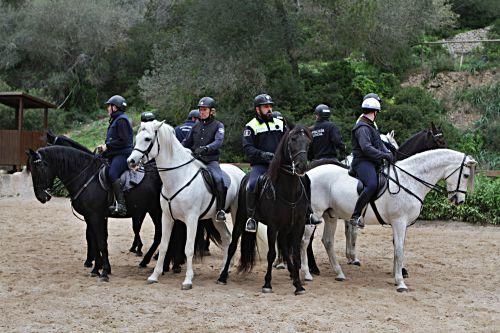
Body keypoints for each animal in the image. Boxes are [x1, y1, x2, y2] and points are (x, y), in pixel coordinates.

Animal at [127, 119, 246, 288]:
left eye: (147, 139)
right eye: (136, 138)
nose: (131, 161)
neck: (178, 177)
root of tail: (240, 171)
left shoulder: (191, 219)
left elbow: (188, 248)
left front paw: (188, 280)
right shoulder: (167, 217)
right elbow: (164, 245)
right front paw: (154, 275)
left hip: (237, 214)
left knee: (234, 239)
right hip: (216, 218)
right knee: (227, 238)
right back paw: (225, 269)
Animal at [219, 124, 312, 294]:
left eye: (308, 143)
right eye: (293, 139)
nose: (301, 167)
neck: (288, 191)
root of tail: (244, 177)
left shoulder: (298, 225)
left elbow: (294, 254)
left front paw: (298, 285)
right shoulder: (273, 226)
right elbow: (271, 253)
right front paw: (267, 284)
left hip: (284, 227)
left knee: (284, 247)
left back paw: (292, 273)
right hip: (241, 218)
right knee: (233, 245)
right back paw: (222, 277)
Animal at [300, 148, 476, 290]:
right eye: (466, 175)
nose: (459, 201)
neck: (410, 180)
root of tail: (309, 174)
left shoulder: (402, 224)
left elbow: (399, 247)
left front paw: (397, 273)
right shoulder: (399, 222)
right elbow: (399, 249)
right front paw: (400, 282)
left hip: (331, 215)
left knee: (328, 241)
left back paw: (339, 273)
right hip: (315, 215)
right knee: (304, 241)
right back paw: (307, 274)